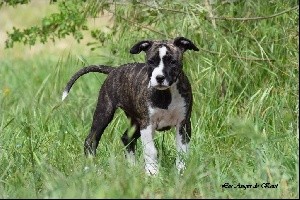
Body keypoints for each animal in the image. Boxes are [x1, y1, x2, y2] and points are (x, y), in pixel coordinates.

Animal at [61, 36, 198, 174]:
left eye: (172, 62)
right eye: (151, 61)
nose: (159, 78)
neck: (166, 94)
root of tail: (114, 69)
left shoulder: (183, 124)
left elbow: (182, 151)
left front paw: (181, 172)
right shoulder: (147, 124)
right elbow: (150, 151)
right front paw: (153, 173)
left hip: (135, 122)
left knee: (126, 138)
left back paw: (132, 168)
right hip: (104, 112)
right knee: (91, 140)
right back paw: (91, 168)